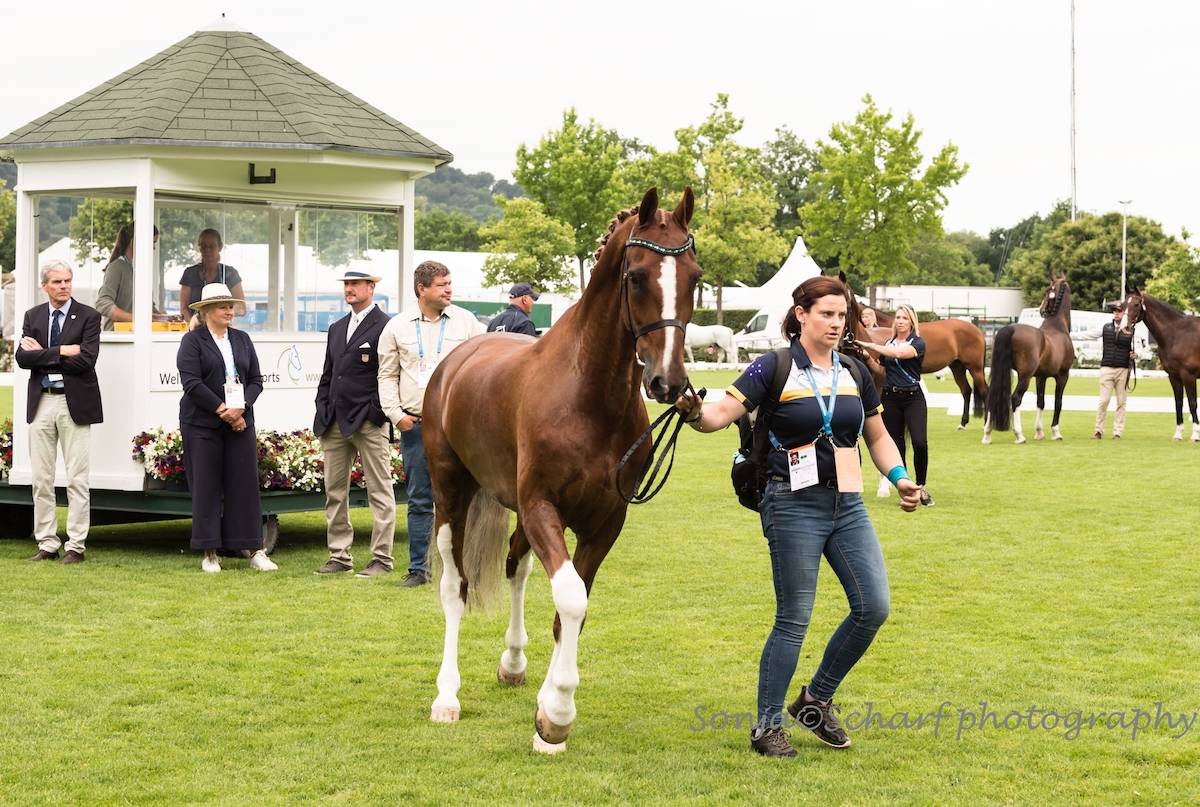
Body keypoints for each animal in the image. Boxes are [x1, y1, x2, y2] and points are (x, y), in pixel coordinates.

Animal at [420, 187, 700, 754]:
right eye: (637, 276)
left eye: (696, 277)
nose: (668, 381)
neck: (587, 396)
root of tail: (459, 357)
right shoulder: (541, 506)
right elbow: (569, 598)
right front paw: (557, 714)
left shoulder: (605, 519)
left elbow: (574, 606)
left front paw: (547, 711)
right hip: (450, 494)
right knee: (455, 587)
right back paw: (447, 696)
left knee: (516, 566)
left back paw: (512, 663)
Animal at [983, 275, 1075, 444]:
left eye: (1048, 291)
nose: (1042, 310)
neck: (1058, 326)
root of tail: (1010, 328)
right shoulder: (1063, 376)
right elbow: (1058, 403)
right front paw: (1056, 432)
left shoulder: (1041, 377)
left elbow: (1041, 402)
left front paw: (1039, 432)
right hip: (1025, 377)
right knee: (1015, 399)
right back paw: (1019, 435)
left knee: (991, 397)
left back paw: (987, 435)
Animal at [1120, 288, 1200, 441]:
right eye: (1123, 305)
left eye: (1136, 304)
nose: (1124, 328)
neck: (1176, 334)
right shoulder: (1173, 376)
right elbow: (1178, 403)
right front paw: (1178, 434)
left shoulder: (1189, 376)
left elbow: (1192, 403)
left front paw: (1195, 435)